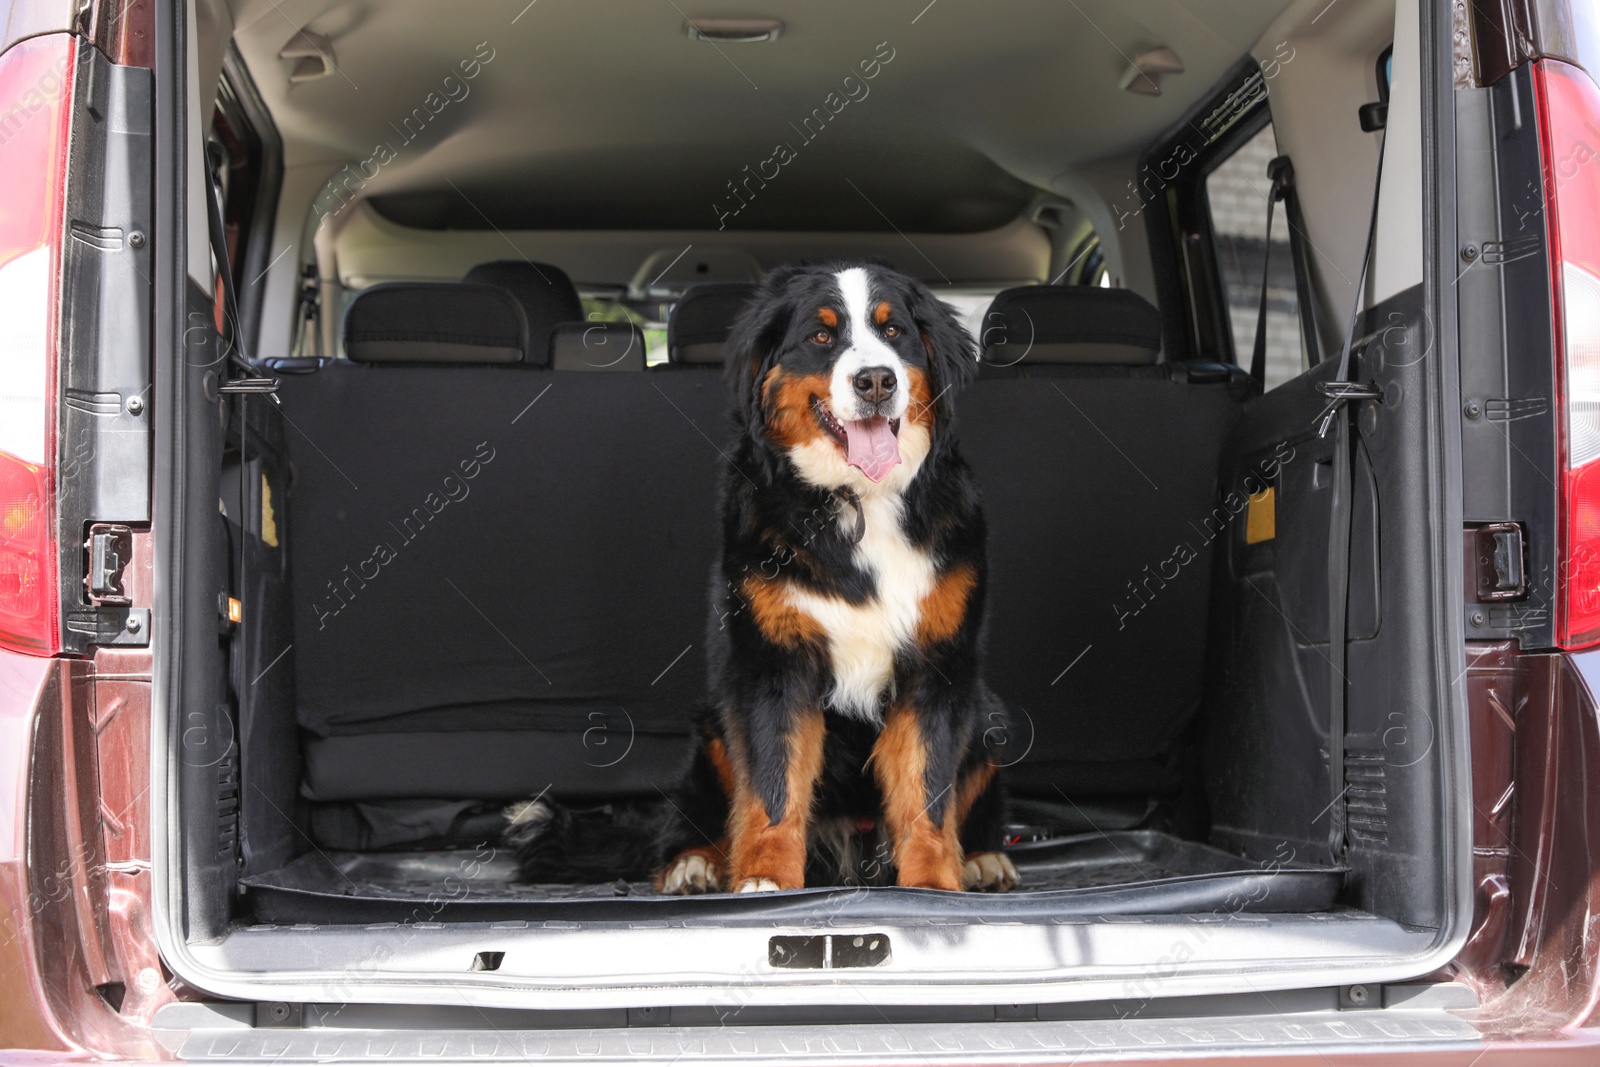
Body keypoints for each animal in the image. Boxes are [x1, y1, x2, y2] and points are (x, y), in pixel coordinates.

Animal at [505, 265, 1017, 895]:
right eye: (821, 337)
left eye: (893, 330)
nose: (875, 380)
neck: (858, 503)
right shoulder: (772, 662)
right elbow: (774, 785)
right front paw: (764, 880)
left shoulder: (937, 664)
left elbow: (927, 792)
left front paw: (933, 887)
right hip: (711, 727)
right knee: (689, 816)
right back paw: (693, 863)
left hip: (991, 718)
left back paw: (984, 858)